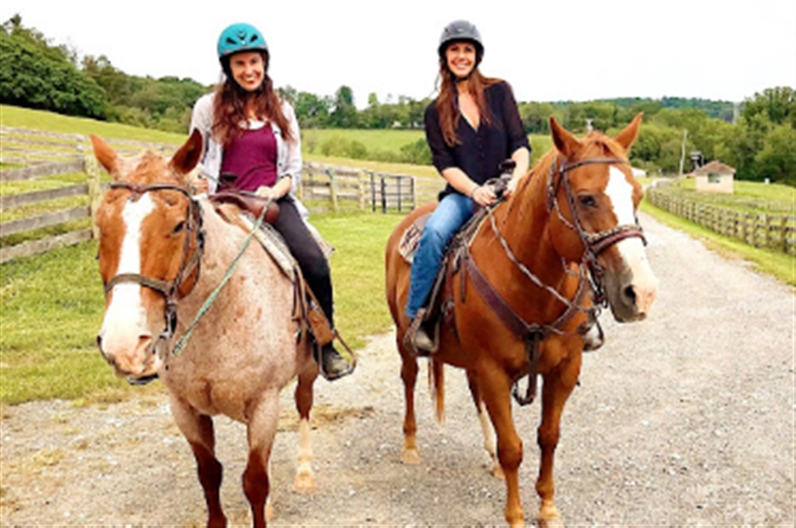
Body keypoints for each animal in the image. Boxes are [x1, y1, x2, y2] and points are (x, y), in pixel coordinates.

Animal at [91, 129, 319, 528]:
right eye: (101, 226)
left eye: (178, 224)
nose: (125, 345)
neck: (217, 319)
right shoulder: (184, 408)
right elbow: (210, 472)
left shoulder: (264, 404)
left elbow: (255, 481)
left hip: (307, 369)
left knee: (304, 405)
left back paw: (304, 473)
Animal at [385, 114, 658, 527]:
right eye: (586, 198)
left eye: (638, 196)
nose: (640, 292)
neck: (532, 288)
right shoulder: (494, 371)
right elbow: (513, 446)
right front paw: (515, 515)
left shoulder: (564, 369)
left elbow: (548, 436)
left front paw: (547, 507)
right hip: (406, 340)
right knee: (409, 380)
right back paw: (411, 445)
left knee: (474, 393)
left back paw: (489, 456)